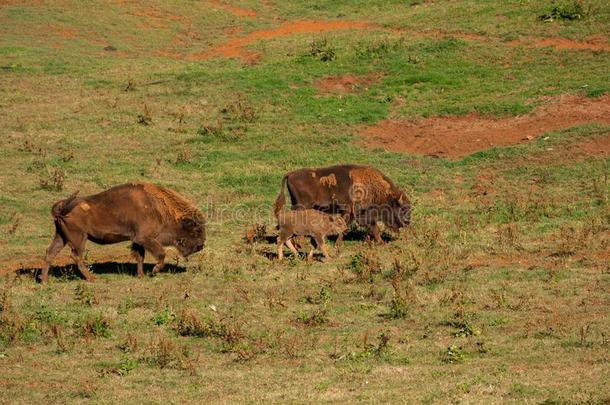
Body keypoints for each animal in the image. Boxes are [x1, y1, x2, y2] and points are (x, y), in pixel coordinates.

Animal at [41, 182, 207, 280]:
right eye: (196, 229)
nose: (200, 246)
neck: (158, 208)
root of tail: (61, 207)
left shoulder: (138, 240)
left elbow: (140, 257)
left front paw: (140, 275)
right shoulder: (144, 238)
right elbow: (161, 253)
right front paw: (153, 271)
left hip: (61, 237)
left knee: (50, 252)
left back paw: (44, 281)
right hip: (79, 238)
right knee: (76, 256)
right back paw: (91, 278)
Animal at [274, 164, 408, 243]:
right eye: (402, 208)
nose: (407, 222)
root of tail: (290, 174)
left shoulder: (353, 214)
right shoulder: (354, 212)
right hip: (302, 206)